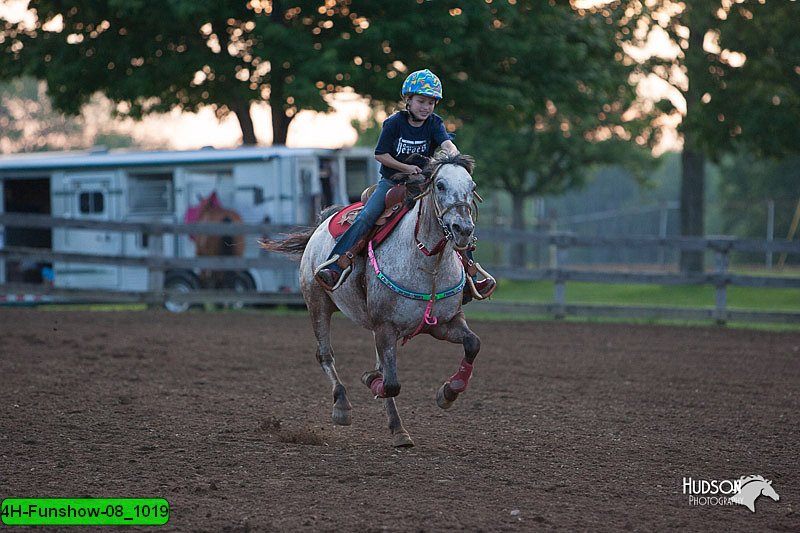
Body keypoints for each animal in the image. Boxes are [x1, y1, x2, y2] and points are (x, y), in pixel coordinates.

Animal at [262, 153, 484, 444]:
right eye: (440, 185)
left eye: (472, 186)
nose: (463, 229)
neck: (429, 266)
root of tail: (322, 222)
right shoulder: (385, 327)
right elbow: (390, 383)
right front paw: (370, 380)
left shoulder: (445, 323)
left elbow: (473, 344)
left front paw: (449, 391)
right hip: (317, 303)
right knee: (325, 356)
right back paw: (343, 406)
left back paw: (397, 428)